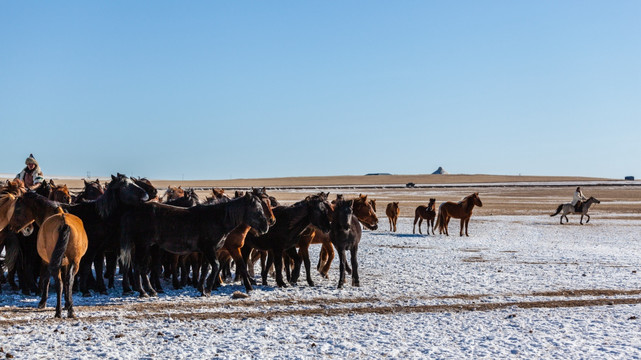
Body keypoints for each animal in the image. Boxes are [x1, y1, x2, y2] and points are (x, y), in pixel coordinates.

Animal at [120, 193, 272, 296]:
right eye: (257, 209)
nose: (266, 226)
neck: (216, 219)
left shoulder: (207, 251)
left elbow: (205, 268)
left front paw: (202, 289)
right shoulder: (210, 249)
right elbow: (215, 266)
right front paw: (208, 289)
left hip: (150, 247)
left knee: (143, 268)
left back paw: (151, 290)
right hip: (143, 245)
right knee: (138, 267)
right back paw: (143, 292)